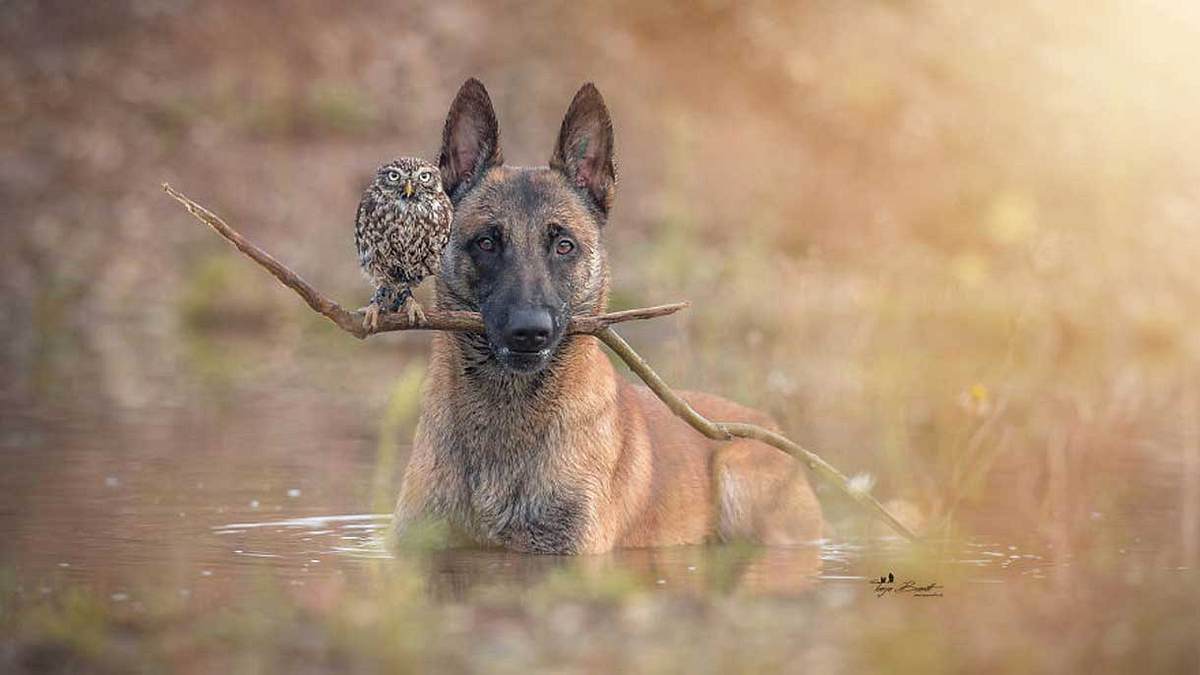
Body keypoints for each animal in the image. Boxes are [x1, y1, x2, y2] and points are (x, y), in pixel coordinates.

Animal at [393, 78, 825, 552]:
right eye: (487, 242)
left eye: (564, 245)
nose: (530, 332)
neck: (506, 414)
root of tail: (768, 424)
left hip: (738, 473)